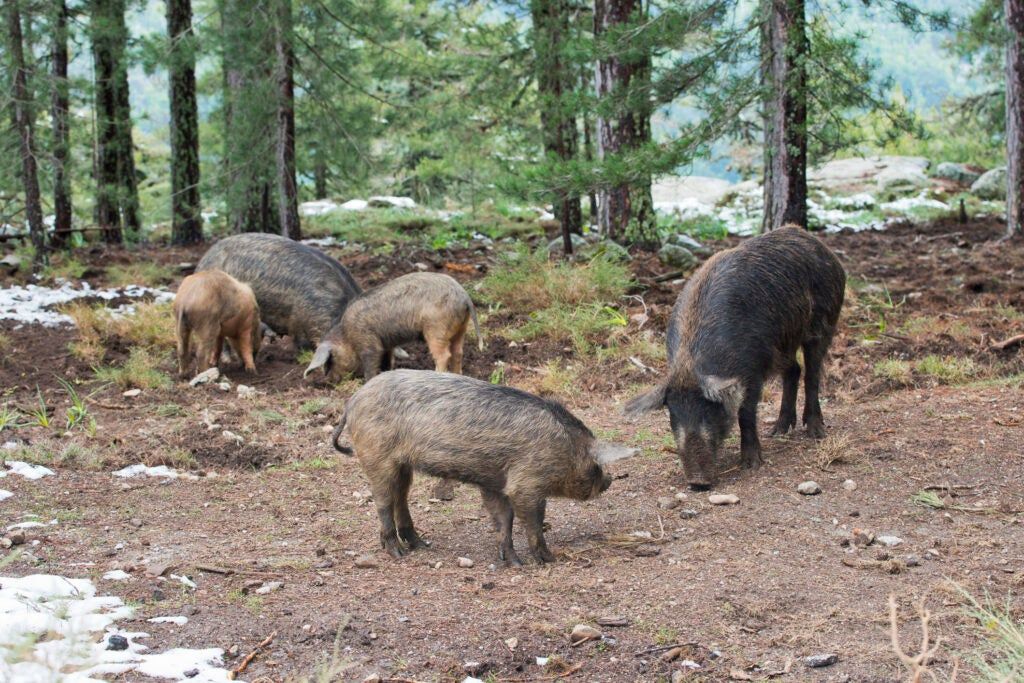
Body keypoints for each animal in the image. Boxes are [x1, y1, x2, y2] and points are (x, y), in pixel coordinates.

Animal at [304, 272, 482, 381]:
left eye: (331, 360)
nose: (330, 380)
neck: (346, 335)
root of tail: (464, 296)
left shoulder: (368, 342)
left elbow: (371, 363)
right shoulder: (386, 344)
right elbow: (387, 360)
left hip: (436, 329)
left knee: (444, 355)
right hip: (461, 328)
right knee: (458, 352)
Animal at [331, 370, 636, 565]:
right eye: (596, 466)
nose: (610, 480)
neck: (567, 447)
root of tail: (352, 402)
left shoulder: (495, 484)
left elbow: (503, 520)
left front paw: (513, 563)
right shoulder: (526, 483)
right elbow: (533, 520)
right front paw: (548, 559)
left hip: (403, 464)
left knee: (400, 497)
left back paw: (422, 545)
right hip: (376, 454)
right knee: (383, 500)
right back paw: (398, 554)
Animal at [625, 226, 845, 490]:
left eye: (710, 409)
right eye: (673, 414)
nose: (698, 482)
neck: (691, 365)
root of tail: (821, 246)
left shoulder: (752, 371)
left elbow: (746, 413)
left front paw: (751, 465)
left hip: (823, 322)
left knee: (812, 373)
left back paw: (815, 433)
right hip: (782, 344)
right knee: (794, 370)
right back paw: (778, 431)